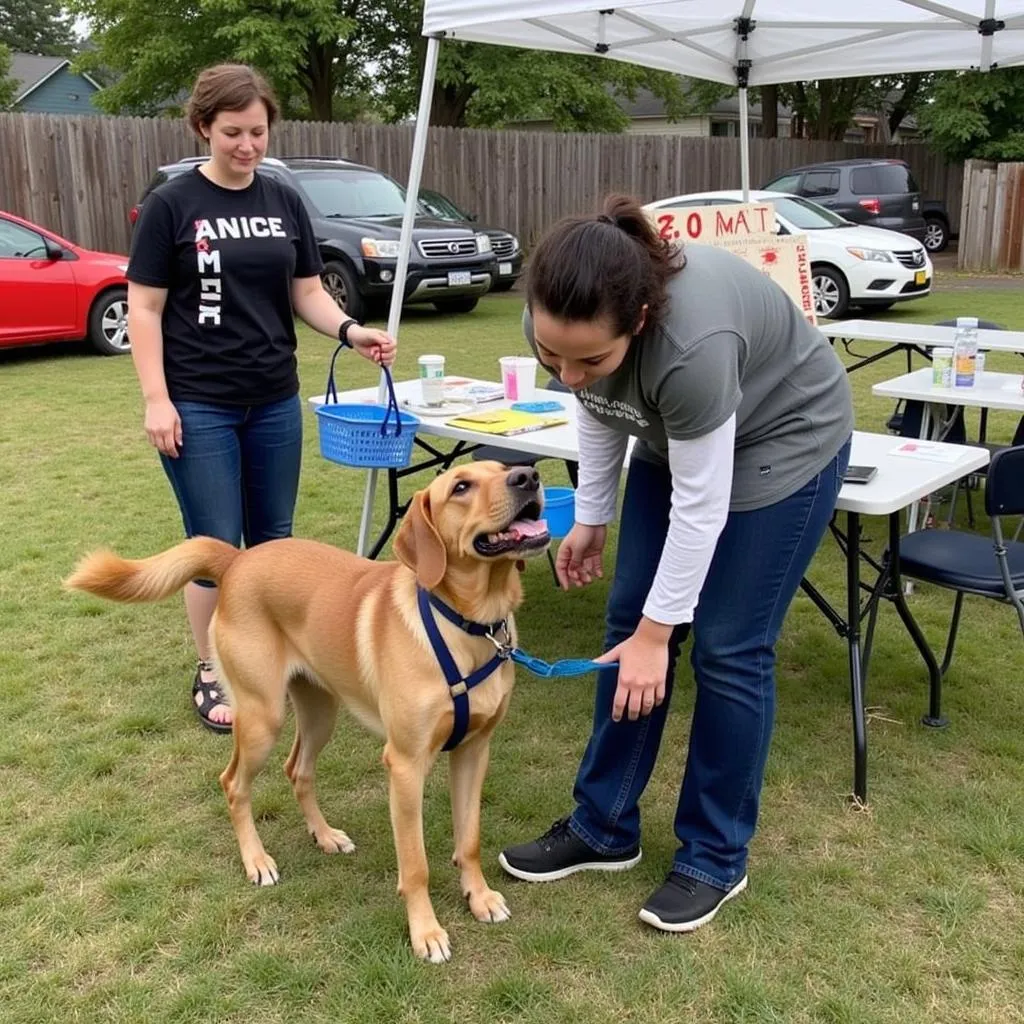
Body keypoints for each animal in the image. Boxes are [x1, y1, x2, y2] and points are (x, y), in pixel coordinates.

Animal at [65, 462, 552, 958]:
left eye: (503, 469)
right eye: (461, 487)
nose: (527, 476)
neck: (467, 625)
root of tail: (236, 561)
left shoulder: (474, 750)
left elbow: (468, 839)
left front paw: (479, 897)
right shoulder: (405, 765)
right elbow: (415, 866)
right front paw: (426, 932)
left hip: (320, 713)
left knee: (297, 770)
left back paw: (325, 835)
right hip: (261, 718)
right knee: (233, 784)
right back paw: (256, 860)